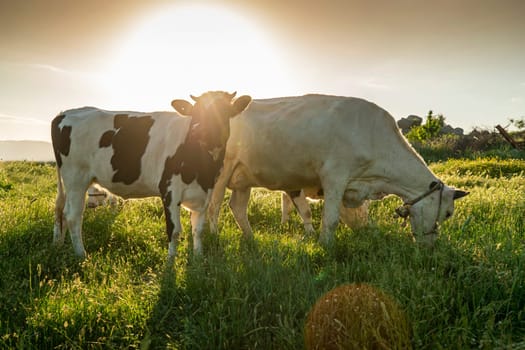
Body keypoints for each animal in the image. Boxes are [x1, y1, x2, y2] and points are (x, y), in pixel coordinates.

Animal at [50, 91, 251, 258]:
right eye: (195, 111)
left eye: (223, 111)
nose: (199, 130)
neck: (203, 168)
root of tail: (66, 112)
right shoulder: (169, 190)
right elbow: (174, 230)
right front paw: (170, 264)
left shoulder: (205, 192)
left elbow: (199, 229)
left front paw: (198, 259)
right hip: (76, 178)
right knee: (73, 216)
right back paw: (81, 255)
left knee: (61, 211)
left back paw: (59, 246)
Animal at [208, 93, 466, 246]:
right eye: (448, 213)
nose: (431, 245)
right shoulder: (334, 176)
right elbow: (330, 219)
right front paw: (325, 246)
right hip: (221, 170)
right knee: (214, 206)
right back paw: (214, 238)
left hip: (243, 177)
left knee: (237, 207)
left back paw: (251, 240)